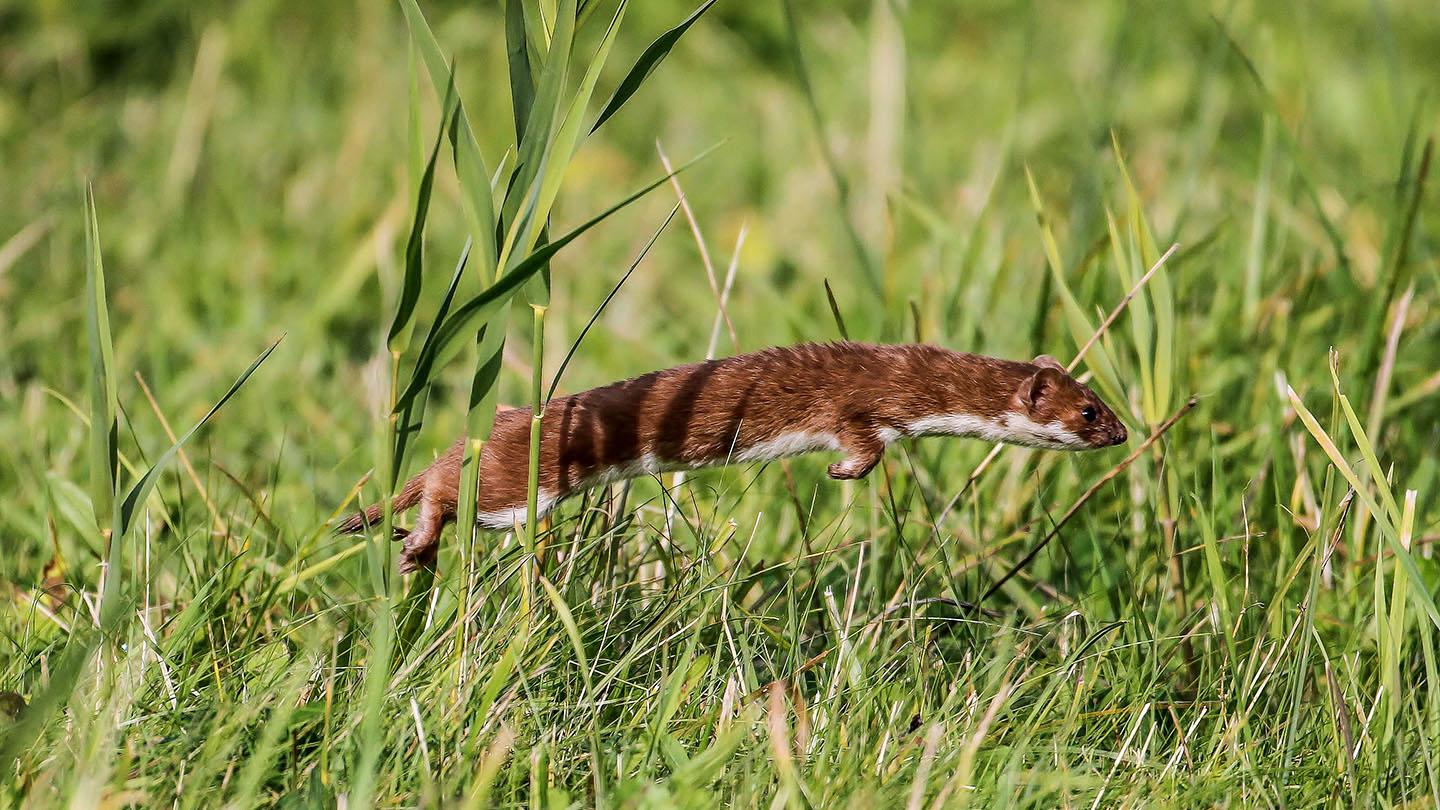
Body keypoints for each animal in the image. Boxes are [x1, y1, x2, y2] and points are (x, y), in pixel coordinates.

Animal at [334, 338, 1123, 567]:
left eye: (1105, 399)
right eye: (1088, 411)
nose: (1122, 433)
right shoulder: (859, 405)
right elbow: (861, 442)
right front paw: (842, 468)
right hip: (524, 484)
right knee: (448, 491)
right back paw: (419, 537)